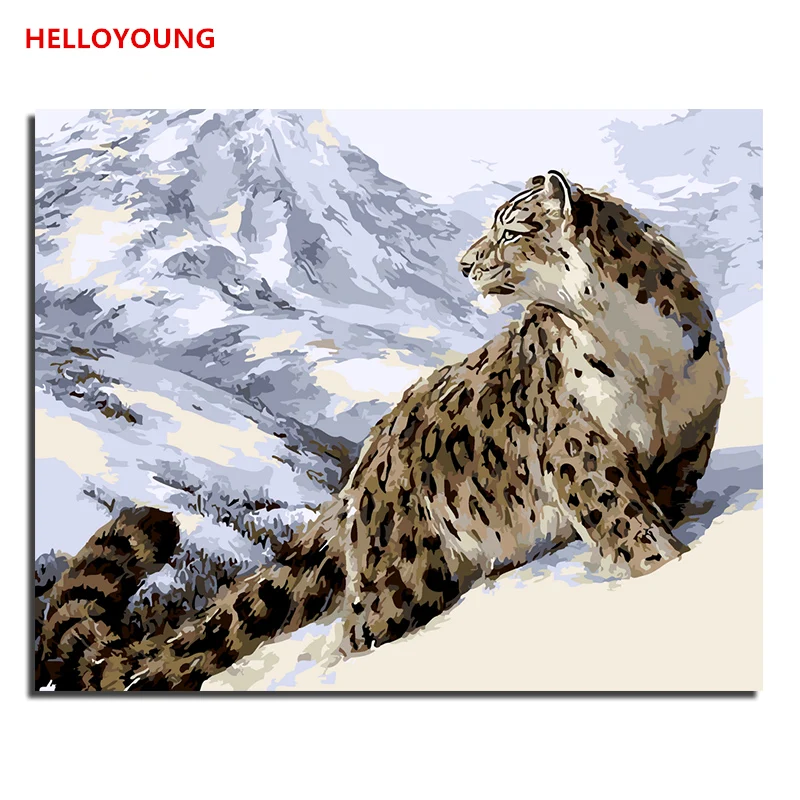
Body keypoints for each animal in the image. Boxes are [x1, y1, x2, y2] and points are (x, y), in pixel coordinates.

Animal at [35, 171, 728, 691]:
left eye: (509, 228)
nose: (464, 263)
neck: (639, 351)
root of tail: (366, 459)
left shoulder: (691, 435)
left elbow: (661, 502)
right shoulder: (578, 445)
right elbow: (625, 521)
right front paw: (663, 569)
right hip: (400, 575)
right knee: (360, 634)